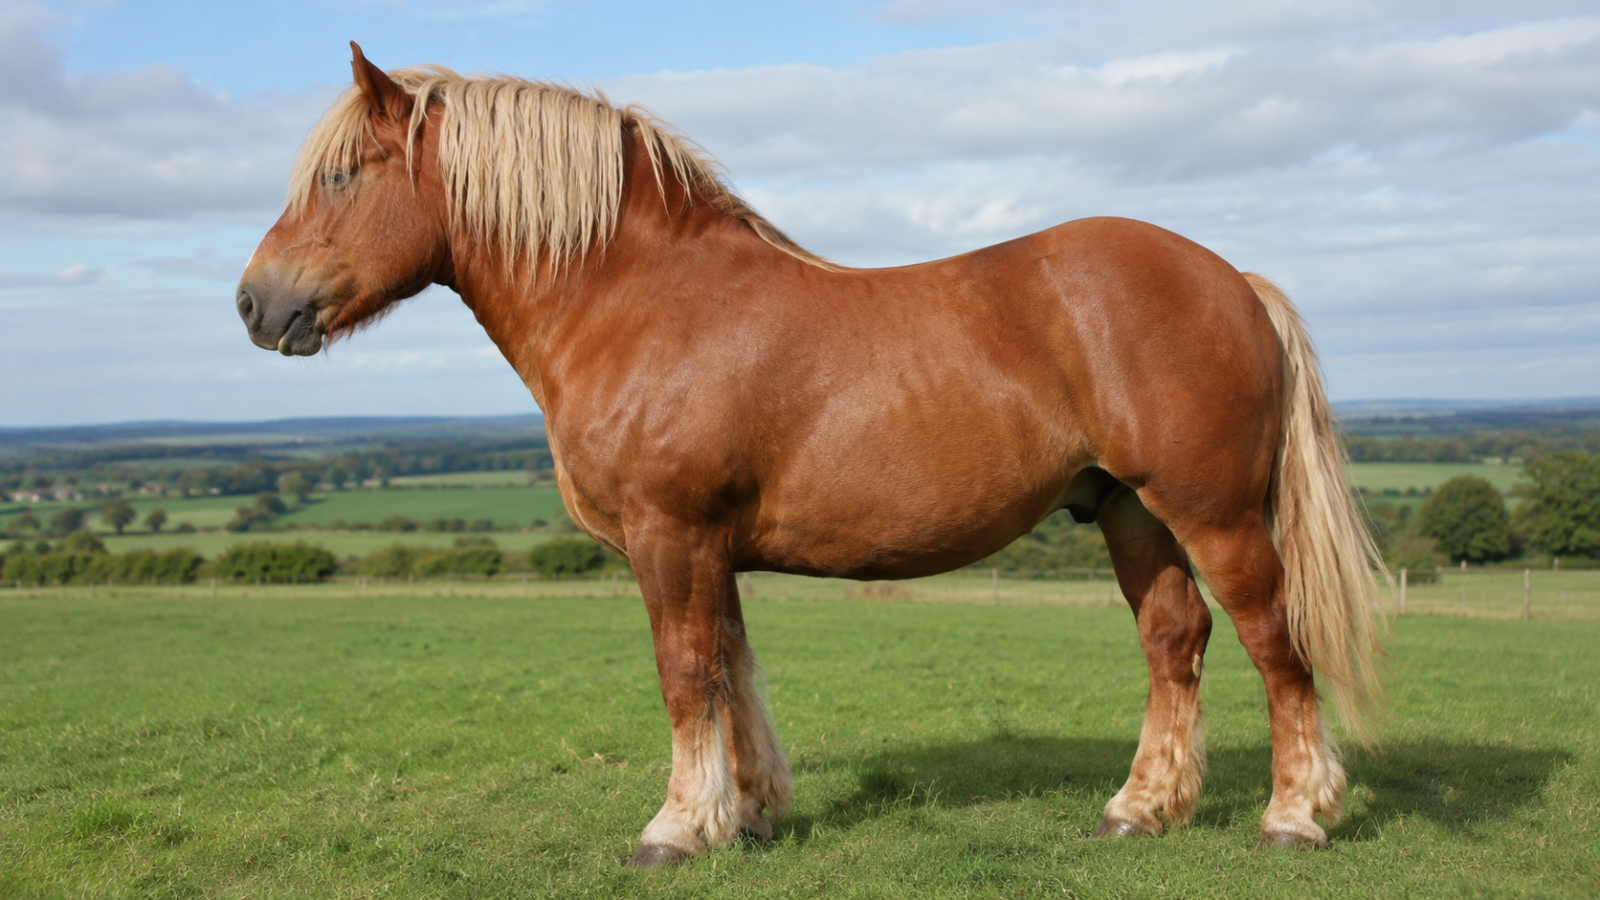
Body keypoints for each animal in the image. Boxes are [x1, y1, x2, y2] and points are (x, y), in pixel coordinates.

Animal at [236, 43, 1385, 866]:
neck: (640, 304)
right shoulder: (708, 547)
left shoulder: (670, 534)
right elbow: (731, 670)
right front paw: (743, 816)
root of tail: (1232, 279)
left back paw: (1294, 816)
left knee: (1274, 642)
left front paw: (674, 829)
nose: (255, 304)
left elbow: (685, 673)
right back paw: (1140, 810)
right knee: (1173, 639)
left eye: (339, 175)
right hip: (1128, 511)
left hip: (1214, 514)